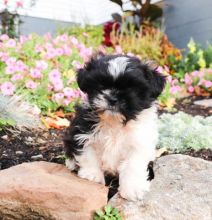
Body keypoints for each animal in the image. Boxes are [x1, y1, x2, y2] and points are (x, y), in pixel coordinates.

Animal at [63, 53, 165, 201]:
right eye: (101, 84)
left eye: (132, 88)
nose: (112, 98)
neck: (114, 123)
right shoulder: (83, 133)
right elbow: (88, 154)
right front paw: (92, 175)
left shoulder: (139, 144)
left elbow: (133, 165)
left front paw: (132, 188)